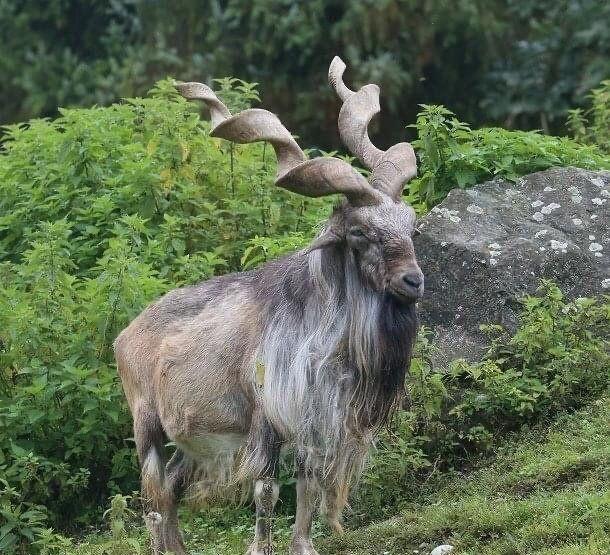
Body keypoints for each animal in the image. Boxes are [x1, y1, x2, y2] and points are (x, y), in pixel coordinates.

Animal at [117, 57, 422, 555]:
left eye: (409, 224)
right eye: (359, 232)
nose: (412, 281)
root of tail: (124, 336)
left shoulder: (313, 422)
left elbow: (307, 485)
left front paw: (304, 545)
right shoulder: (266, 420)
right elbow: (267, 490)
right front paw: (261, 547)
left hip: (196, 440)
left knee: (173, 493)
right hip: (147, 426)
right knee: (155, 501)